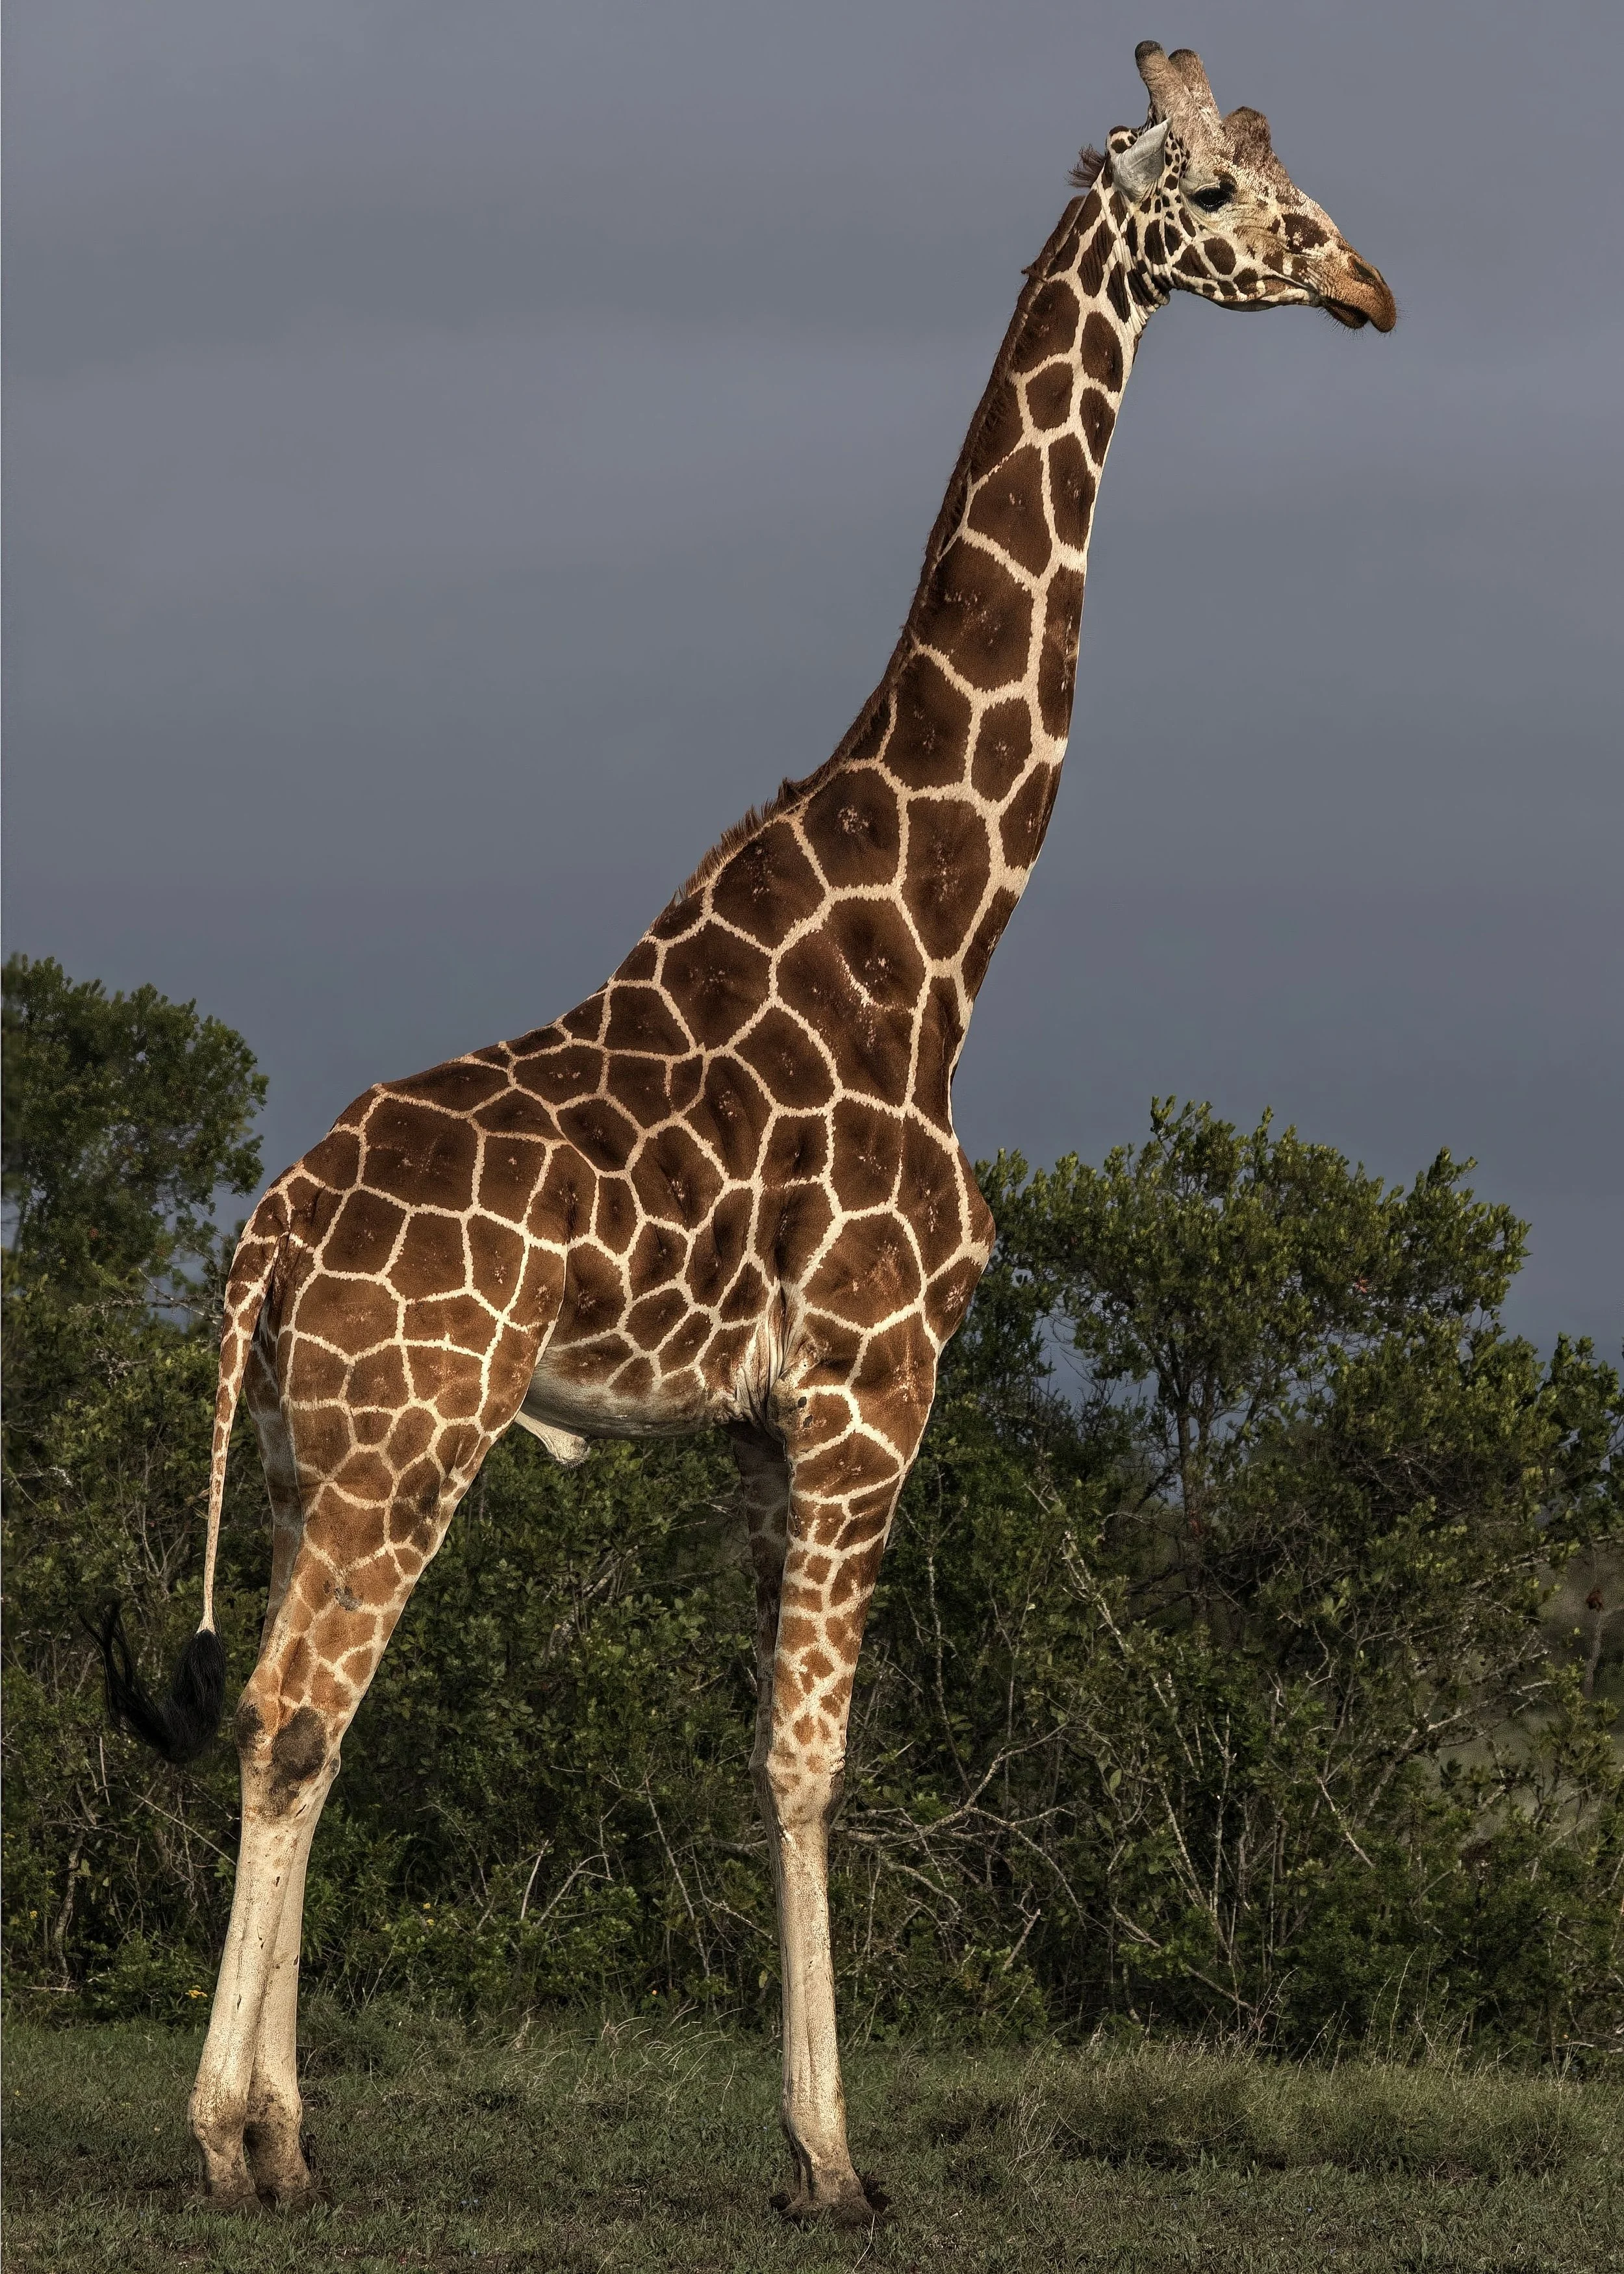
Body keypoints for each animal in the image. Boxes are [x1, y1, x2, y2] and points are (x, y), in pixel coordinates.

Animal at [104, 41, 1394, 2222]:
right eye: (1221, 192)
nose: (1365, 286)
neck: (933, 938)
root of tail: (269, 1233)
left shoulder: (759, 1428)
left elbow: (768, 1749)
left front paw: (812, 2135)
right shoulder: (877, 1382)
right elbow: (806, 1757)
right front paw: (830, 2157)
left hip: (310, 1453)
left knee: (313, 1717)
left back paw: (281, 2124)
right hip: (405, 1444)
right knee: (290, 1712)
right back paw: (230, 2140)